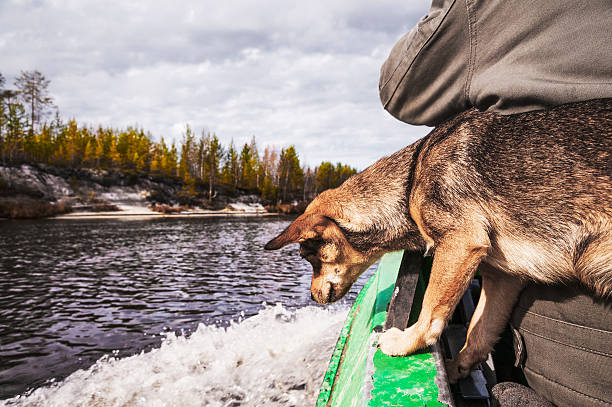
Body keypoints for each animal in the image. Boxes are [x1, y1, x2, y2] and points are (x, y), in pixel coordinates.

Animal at [264, 99, 612, 382]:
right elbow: (479, 331)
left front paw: (407, 341)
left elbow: (431, 311)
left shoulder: (460, 242)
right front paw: (459, 367)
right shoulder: (504, 277)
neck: (409, 182)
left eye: (308, 256)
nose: (312, 297)